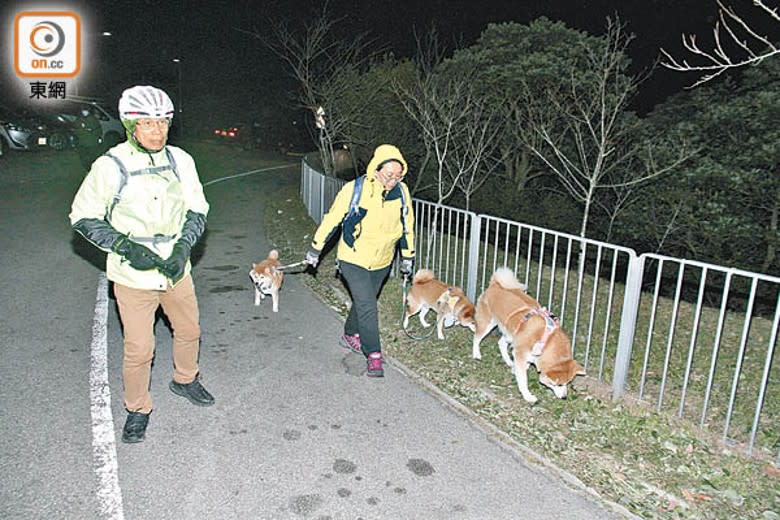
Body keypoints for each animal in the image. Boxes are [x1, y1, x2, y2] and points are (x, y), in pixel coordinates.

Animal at [470, 268, 584, 402]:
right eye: (559, 384)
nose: (564, 397)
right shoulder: (521, 354)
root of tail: (495, 284)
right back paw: (476, 354)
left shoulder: (527, 354)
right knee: (477, 337)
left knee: (501, 343)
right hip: (487, 324)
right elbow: (523, 379)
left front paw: (515, 369)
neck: (546, 339)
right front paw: (527, 395)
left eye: (568, 383)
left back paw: (509, 361)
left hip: (511, 334)